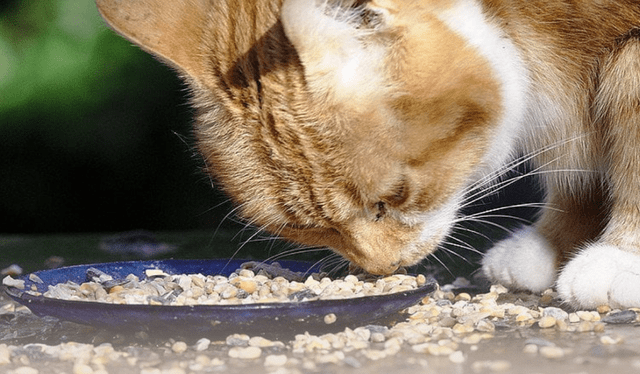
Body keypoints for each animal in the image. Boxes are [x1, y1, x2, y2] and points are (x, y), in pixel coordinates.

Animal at [96, 0, 640, 310]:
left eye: (392, 197)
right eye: (316, 230)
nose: (383, 269)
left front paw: (621, 257)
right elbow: (575, 170)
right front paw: (553, 243)